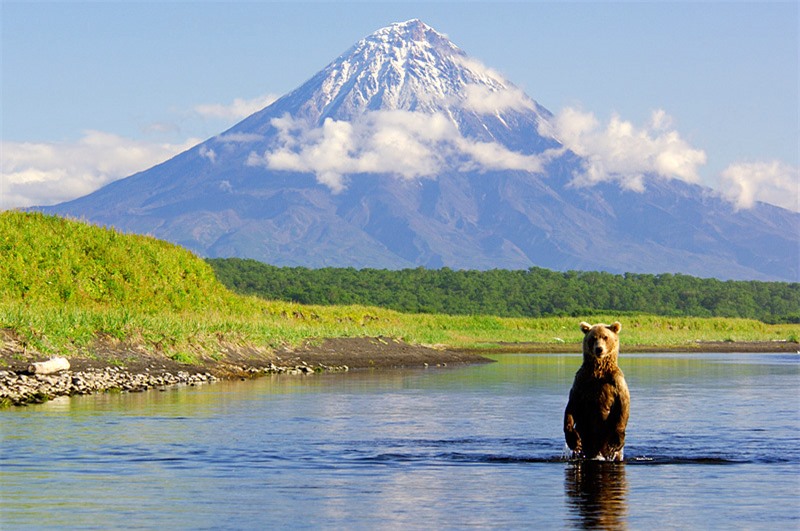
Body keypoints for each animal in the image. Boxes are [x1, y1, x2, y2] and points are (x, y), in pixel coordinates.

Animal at [564, 320, 632, 462]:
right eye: (593, 338)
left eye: (605, 337)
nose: (599, 349)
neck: (598, 371)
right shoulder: (581, 380)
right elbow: (572, 405)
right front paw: (573, 440)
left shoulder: (616, 382)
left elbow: (623, 405)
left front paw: (616, 441)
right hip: (585, 435)